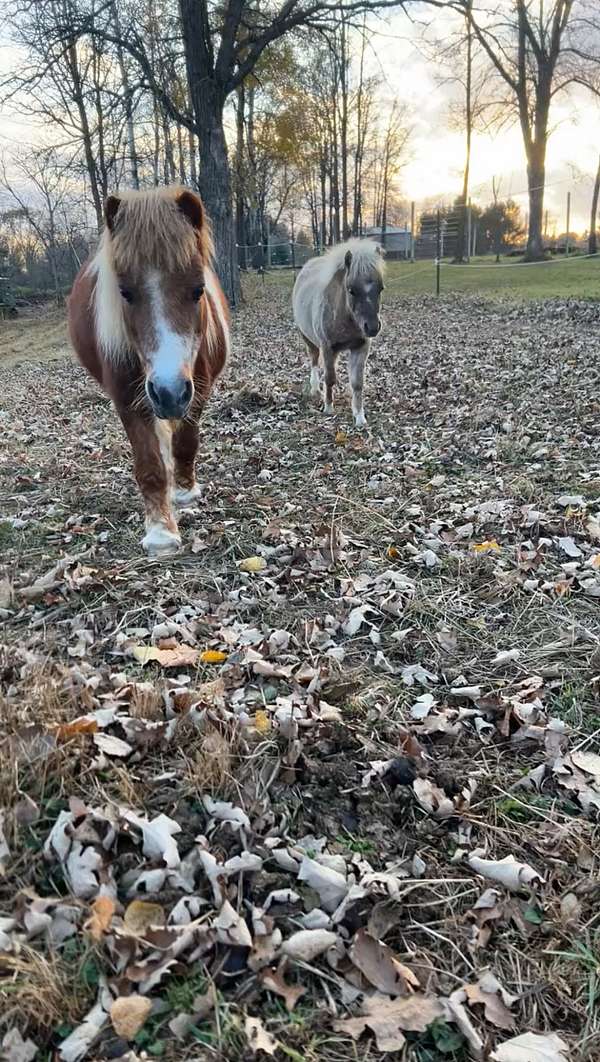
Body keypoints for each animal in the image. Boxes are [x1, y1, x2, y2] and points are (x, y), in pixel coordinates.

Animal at [68, 185, 229, 556]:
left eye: (198, 289)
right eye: (125, 292)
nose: (169, 392)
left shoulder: (197, 391)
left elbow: (186, 441)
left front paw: (184, 491)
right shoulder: (129, 399)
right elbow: (150, 464)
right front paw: (160, 531)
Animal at [290, 238, 384, 424]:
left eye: (380, 288)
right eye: (351, 290)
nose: (372, 327)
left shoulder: (360, 347)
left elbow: (357, 382)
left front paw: (359, 417)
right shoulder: (327, 347)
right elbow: (329, 378)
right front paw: (328, 408)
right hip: (309, 340)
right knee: (314, 361)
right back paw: (315, 389)